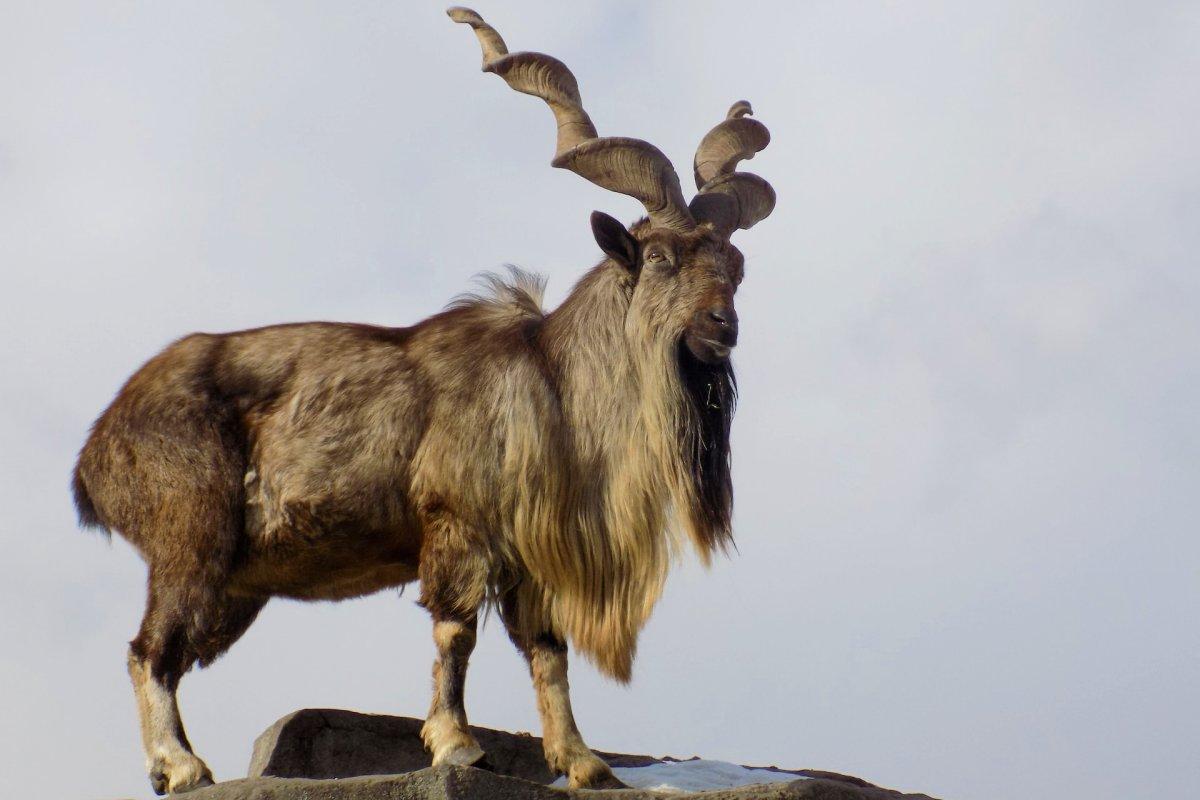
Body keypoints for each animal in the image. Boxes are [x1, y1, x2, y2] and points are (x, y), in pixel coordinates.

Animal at [70, 7, 777, 796]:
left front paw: (584, 763)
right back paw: (183, 765)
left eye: (734, 266)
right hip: (189, 536)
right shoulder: (456, 526)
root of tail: (99, 446)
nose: (721, 327)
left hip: (234, 583)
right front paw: (457, 746)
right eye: (657, 257)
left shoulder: (530, 558)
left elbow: (547, 650)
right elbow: (455, 632)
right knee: (149, 648)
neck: (555, 384)